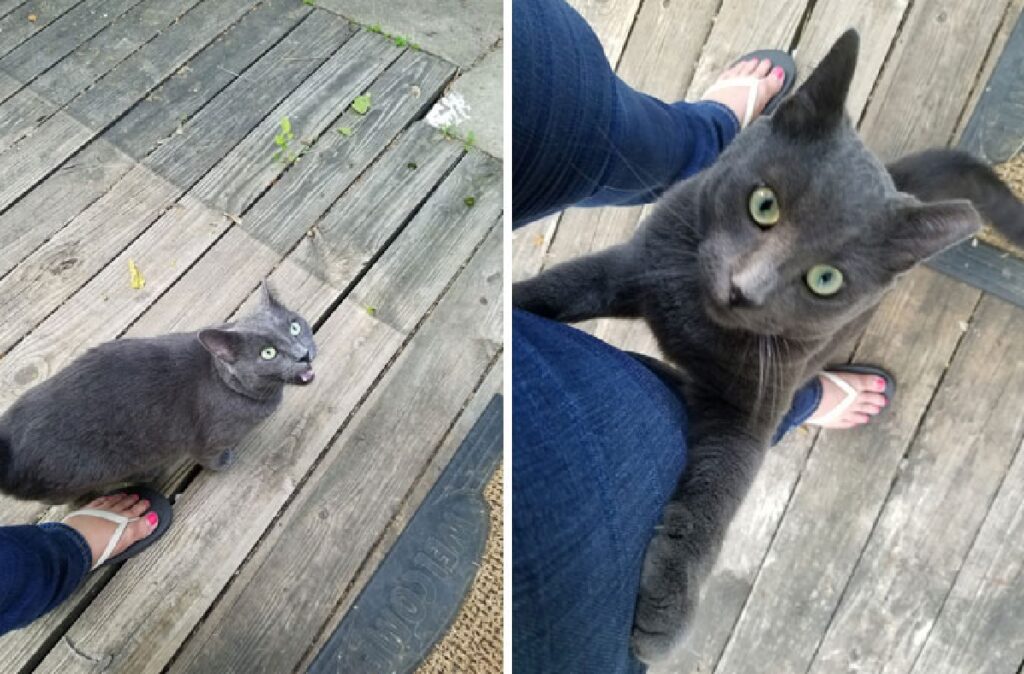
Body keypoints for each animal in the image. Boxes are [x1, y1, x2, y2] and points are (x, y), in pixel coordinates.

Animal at [0, 280, 315, 501]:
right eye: (268, 353)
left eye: (295, 327)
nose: (303, 355)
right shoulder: (206, 441)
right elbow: (209, 457)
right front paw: (223, 462)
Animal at [512, 30, 1024, 659]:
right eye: (764, 204)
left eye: (825, 279)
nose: (744, 289)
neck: (695, 323)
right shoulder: (631, 267)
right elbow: (560, 289)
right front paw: (517, 307)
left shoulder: (753, 405)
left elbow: (720, 491)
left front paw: (667, 609)